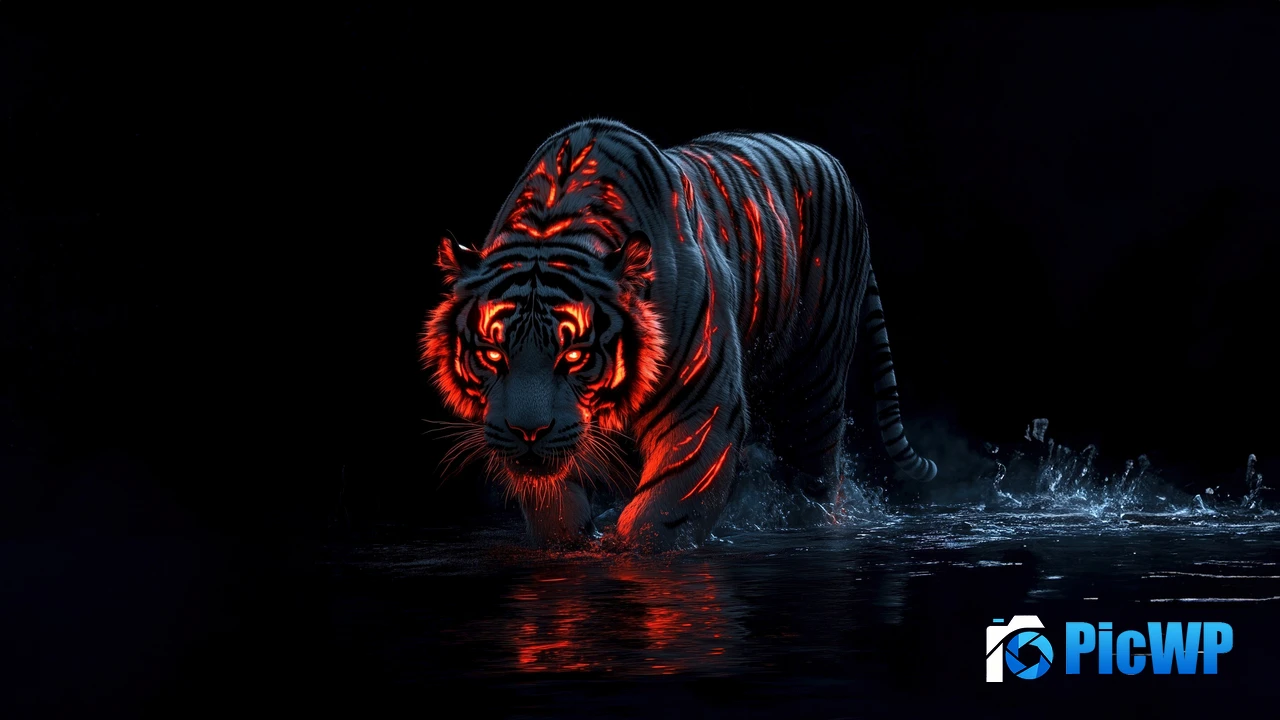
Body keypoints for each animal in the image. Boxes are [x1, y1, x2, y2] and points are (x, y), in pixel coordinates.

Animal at [422, 118, 938, 551]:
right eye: (493, 355)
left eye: (573, 357)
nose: (528, 432)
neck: (555, 228)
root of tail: (832, 162)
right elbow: (554, 506)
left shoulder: (702, 407)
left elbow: (665, 512)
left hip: (814, 384)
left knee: (813, 476)